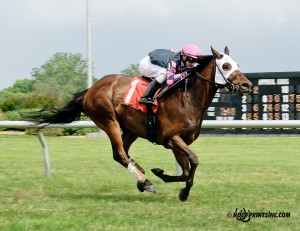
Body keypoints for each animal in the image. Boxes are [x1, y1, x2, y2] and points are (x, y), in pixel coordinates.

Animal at [27, 46, 253, 200]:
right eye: (225, 66)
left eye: (238, 65)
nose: (247, 85)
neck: (188, 98)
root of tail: (90, 89)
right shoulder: (171, 138)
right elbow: (194, 160)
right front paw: (182, 191)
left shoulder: (177, 142)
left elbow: (185, 170)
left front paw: (168, 179)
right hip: (108, 121)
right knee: (120, 153)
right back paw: (145, 181)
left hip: (131, 129)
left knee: (121, 154)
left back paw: (143, 178)